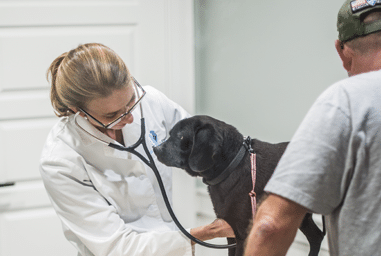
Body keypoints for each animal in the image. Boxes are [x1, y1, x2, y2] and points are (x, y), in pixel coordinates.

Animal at [153, 116, 326, 256]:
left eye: (179, 136)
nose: (155, 148)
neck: (232, 166)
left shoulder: (244, 234)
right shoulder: (231, 233)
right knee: (317, 236)